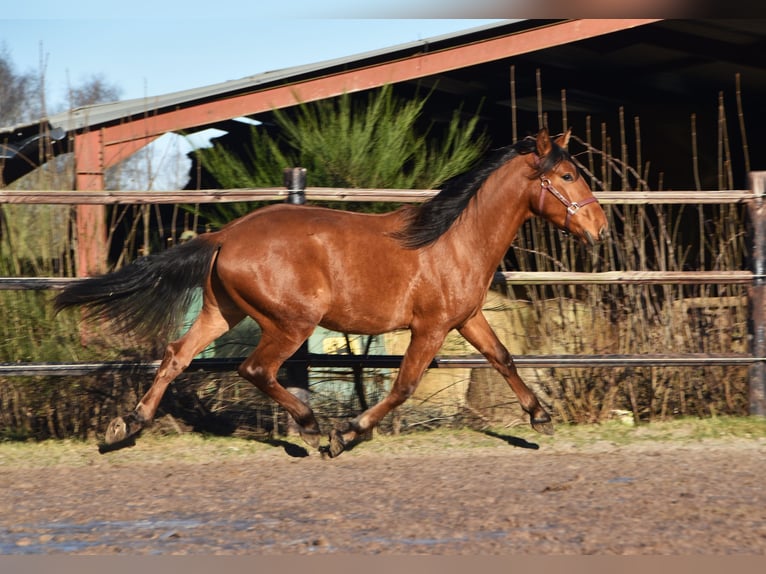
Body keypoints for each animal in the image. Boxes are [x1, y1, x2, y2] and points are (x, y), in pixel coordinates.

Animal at [54, 130, 608, 460]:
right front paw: (348, 432)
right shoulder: (430, 327)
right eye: (566, 175)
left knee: (175, 357)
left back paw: (126, 427)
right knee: (256, 369)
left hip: (221, 312)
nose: (600, 229)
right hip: (291, 323)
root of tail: (226, 235)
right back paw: (314, 430)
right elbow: (403, 386)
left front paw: (541, 418)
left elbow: (504, 358)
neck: (452, 239)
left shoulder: (467, 318)